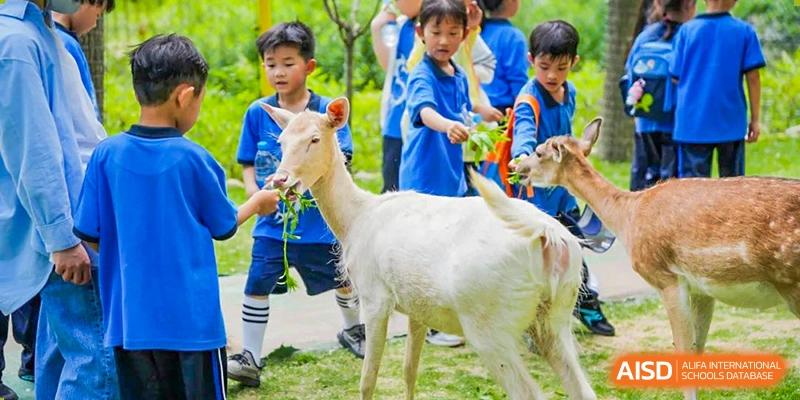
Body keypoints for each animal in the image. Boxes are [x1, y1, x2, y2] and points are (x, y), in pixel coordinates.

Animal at [262, 97, 597, 400]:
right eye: (281, 140)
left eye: (314, 138)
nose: (280, 180)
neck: (355, 221)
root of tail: (552, 239)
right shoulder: (418, 307)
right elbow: (409, 371)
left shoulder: (374, 296)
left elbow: (368, 379)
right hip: (556, 316)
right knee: (584, 389)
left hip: (488, 324)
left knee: (529, 393)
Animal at [514, 117, 800, 400]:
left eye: (539, 152)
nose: (517, 167)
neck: (627, 217)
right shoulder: (702, 289)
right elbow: (697, 349)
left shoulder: (665, 277)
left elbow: (683, 351)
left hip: (791, 283)